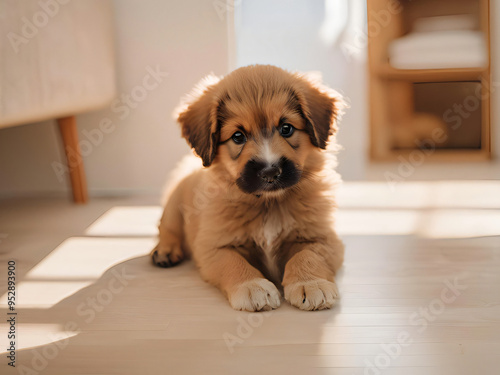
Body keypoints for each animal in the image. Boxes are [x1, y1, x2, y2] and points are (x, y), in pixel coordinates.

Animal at [151, 64, 344, 312]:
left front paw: (310, 283)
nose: (270, 172)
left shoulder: (323, 238)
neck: (269, 203)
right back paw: (165, 251)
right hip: (174, 206)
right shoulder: (214, 247)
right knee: (166, 228)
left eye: (286, 128)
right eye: (238, 136)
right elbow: (233, 262)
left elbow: (308, 256)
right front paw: (252, 286)